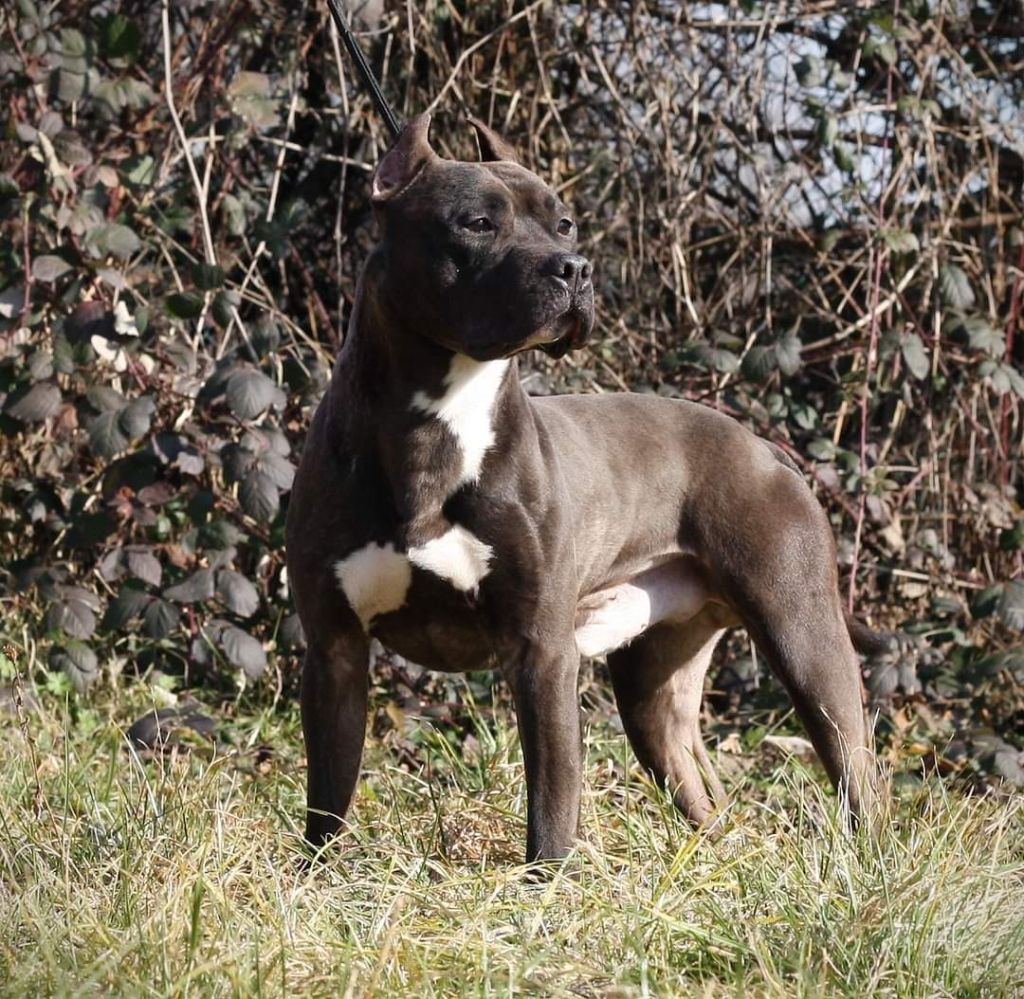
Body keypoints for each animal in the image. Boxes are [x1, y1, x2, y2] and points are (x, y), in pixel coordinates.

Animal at [286, 114, 878, 863]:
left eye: (563, 223)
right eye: (477, 222)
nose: (575, 267)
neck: (439, 420)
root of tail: (762, 447)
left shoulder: (543, 652)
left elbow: (552, 799)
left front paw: (543, 885)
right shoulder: (334, 649)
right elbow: (327, 794)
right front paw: (317, 875)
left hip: (805, 638)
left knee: (856, 769)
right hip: (655, 695)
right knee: (703, 793)